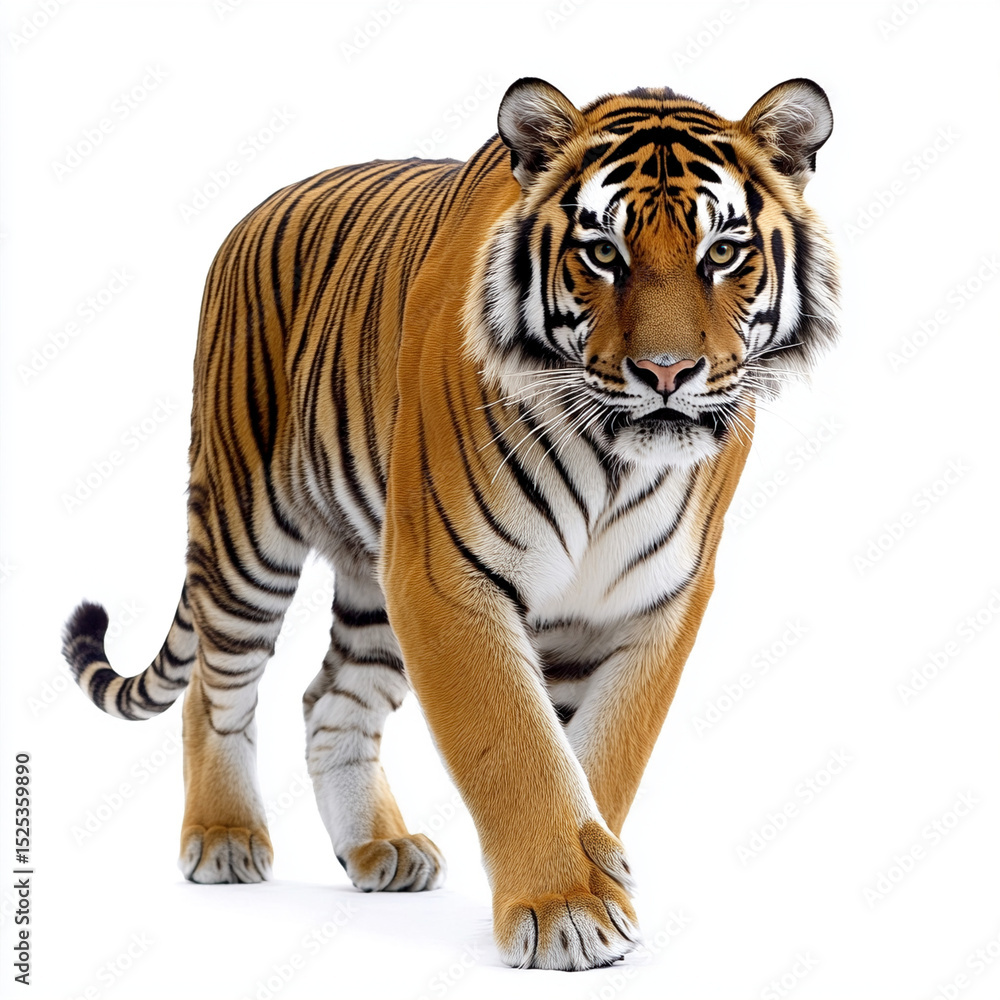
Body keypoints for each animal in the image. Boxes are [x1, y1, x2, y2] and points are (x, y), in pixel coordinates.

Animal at [62, 76, 838, 971]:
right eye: (603, 253)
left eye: (723, 253)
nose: (668, 372)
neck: (615, 460)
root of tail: (253, 211)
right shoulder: (447, 578)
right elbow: (515, 747)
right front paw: (568, 909)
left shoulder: (653, 601)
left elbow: (602, 757)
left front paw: (597, 875)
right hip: (246, 531)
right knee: (215, 689)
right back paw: (223, 837)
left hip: (375, 579)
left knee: (331, 699)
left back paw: (379, 849)